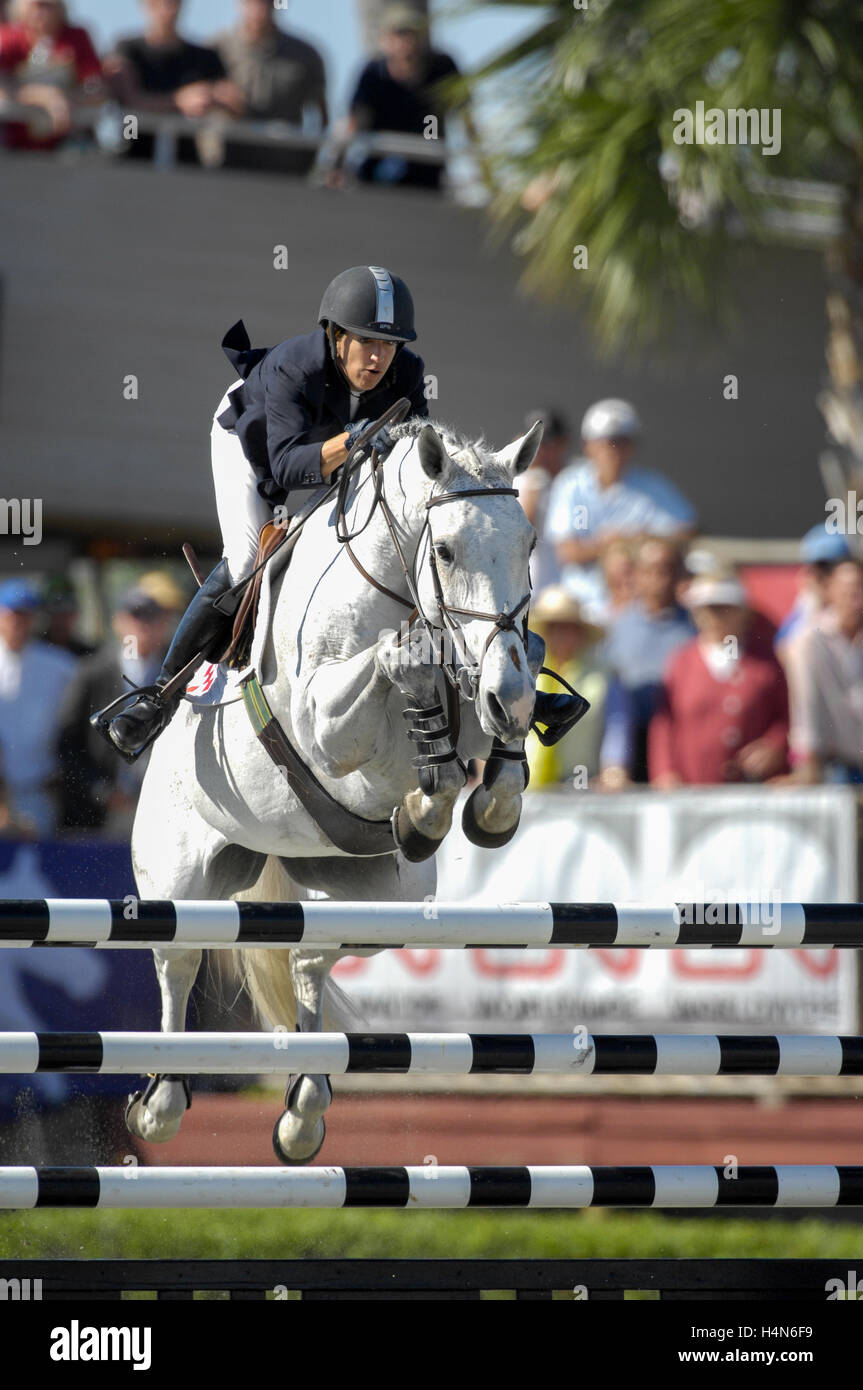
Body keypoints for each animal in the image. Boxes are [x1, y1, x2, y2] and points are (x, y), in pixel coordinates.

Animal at [124, 419, 541, 1162]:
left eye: (530, 545)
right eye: (444, 548)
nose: (509, 696)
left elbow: (490, 739)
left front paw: (469, 803)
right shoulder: (326, 728)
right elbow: (389, 668)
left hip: (374, 902)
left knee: (311, 958)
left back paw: (303, 1109)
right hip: (180, 878)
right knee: (179, 957)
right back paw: (160, 1102)